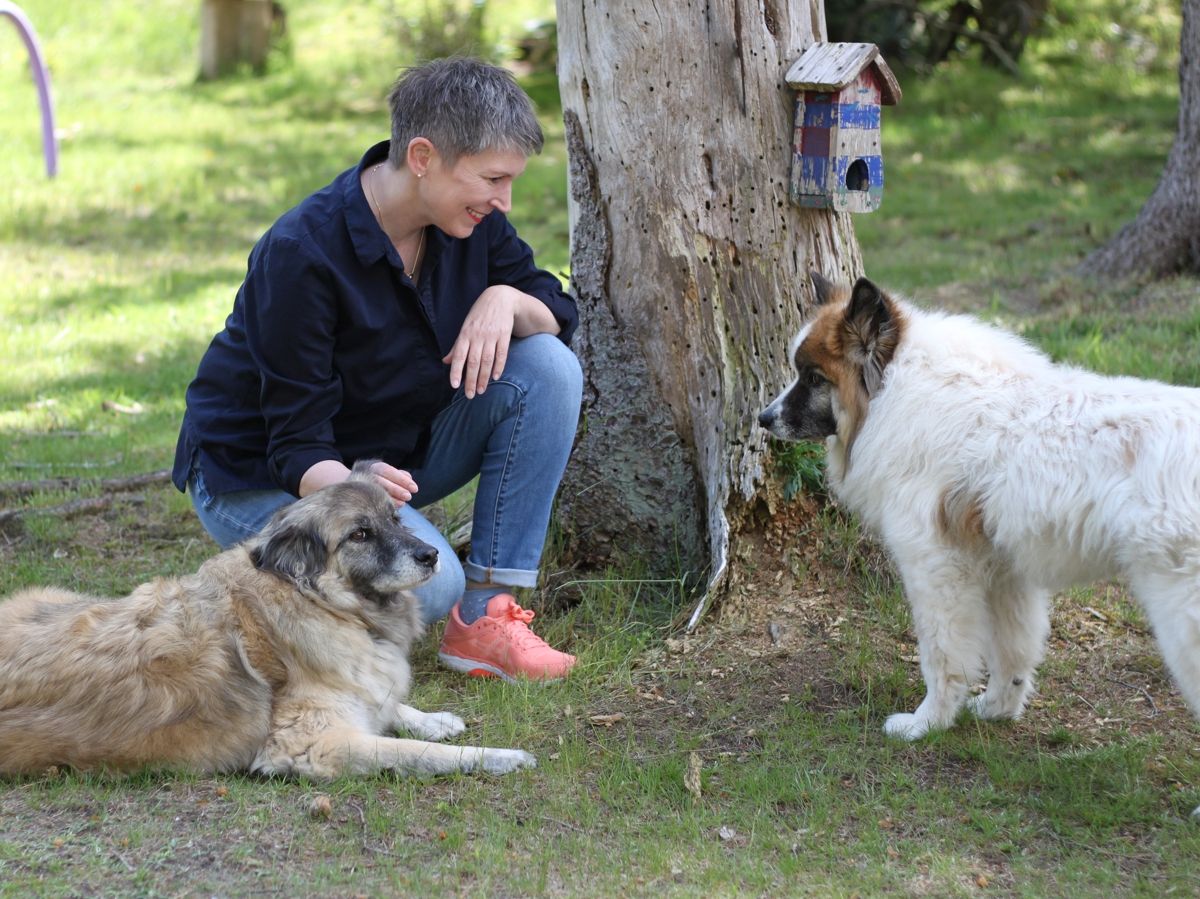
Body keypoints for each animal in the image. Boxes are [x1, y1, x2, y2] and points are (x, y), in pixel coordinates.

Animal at [0, 463, 535, 777]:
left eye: (395, 520)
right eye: (360, 534)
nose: (431, 556)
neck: (317, 602)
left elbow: (388, 704)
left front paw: (432, 719)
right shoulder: (312, 744)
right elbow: (415, 753)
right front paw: (498, 756)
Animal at [758, 271, 1200, 787]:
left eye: (812, 378)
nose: (763, 418)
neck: (893, 393)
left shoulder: (936, 568)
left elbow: (942, 655)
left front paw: (927, 723)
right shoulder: (1005, 570)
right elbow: (1012, 651)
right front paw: (996, 709)